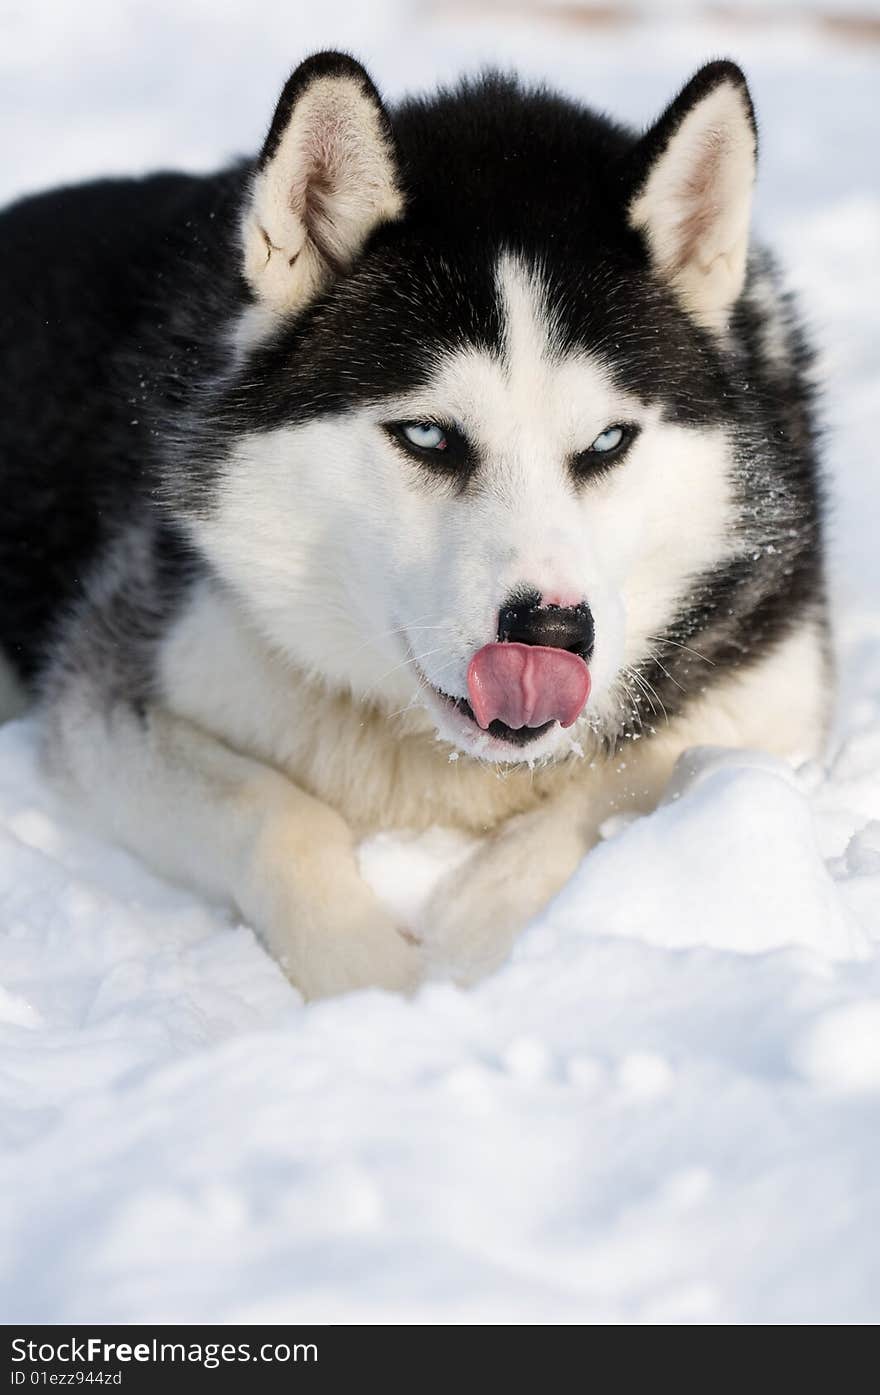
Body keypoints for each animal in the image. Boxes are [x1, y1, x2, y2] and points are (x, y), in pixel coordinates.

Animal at [0, 51, 825, 993]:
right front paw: (378, 988)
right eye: (428, 436)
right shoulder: (113, 685)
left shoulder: (773, 691)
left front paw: (476, 944)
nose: (551, 631)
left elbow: (635, 773)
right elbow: (275, 815)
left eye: (608, 441)